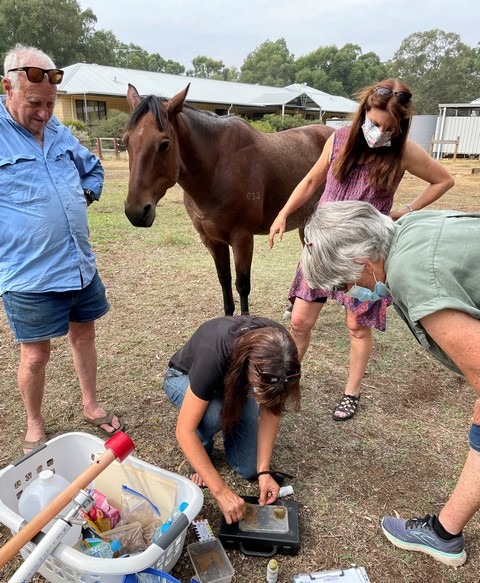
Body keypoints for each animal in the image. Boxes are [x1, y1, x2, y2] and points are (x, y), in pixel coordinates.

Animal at [124, 83, 334, 314]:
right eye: (126, 141)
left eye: (164, 144)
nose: (136, 212)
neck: (217, 169)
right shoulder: (212, 240)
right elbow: (224, 281)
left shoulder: (242, 238)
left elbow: (242, 285)